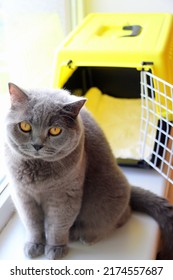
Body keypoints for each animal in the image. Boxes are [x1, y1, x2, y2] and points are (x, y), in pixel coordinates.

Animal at [3, 83, 173, 260]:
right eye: (25, 126)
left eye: (55, 130)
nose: (37, 145)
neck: (37, 172)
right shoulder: (22, 195)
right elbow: (32, 223)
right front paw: (34, 245)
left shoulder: (65, 196)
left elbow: (57, 225)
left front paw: (55, 249)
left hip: (107, 197)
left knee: (123, 215)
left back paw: (84, 235)